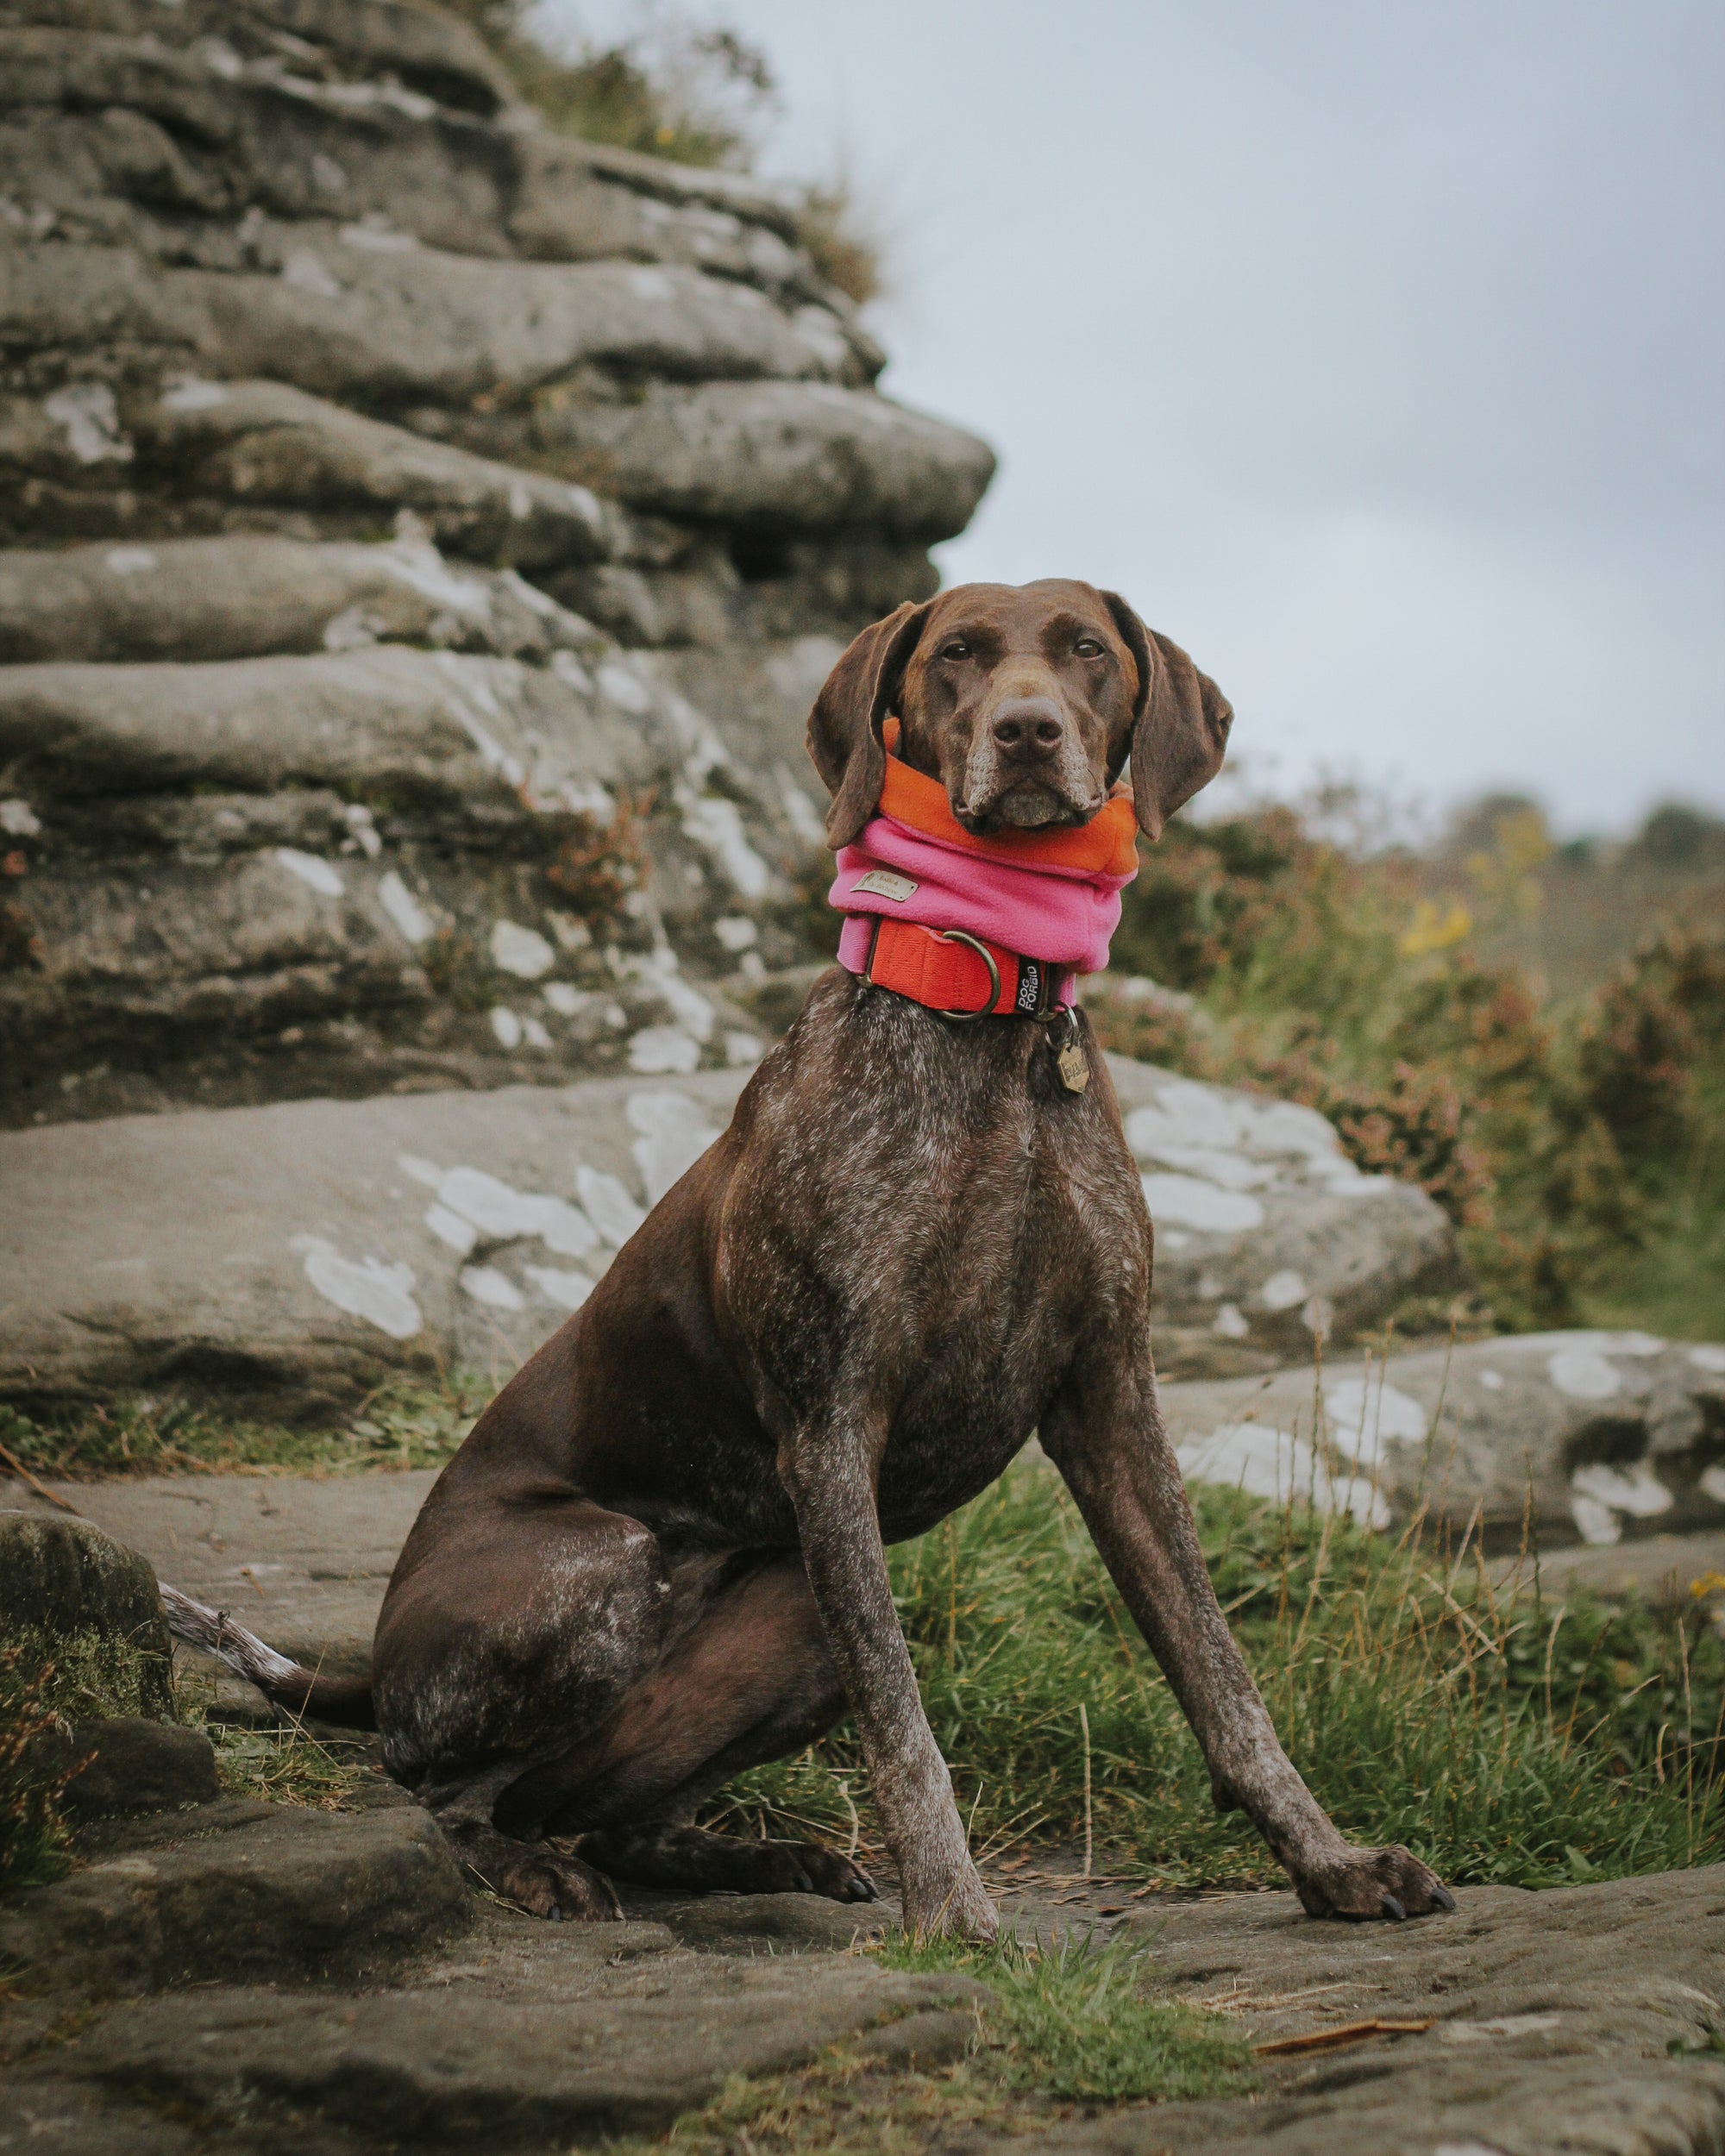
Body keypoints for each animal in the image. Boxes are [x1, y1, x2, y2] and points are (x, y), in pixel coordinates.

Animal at [171, 586, 1458, 1940]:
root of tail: (369, 1667)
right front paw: (953, 1916)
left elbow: (1223, 1678)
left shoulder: (1110, 1403)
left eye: (1086, 652)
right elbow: (907, 1729)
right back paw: (524, 1864)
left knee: (598, 1809)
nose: (1030, 733)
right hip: (607, 1567)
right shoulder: (834, 1422)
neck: (989, 1021)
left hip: (791, 1619)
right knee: (447, 1793)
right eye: (957, 654)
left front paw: (1328, 1861)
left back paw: (748, 1857)